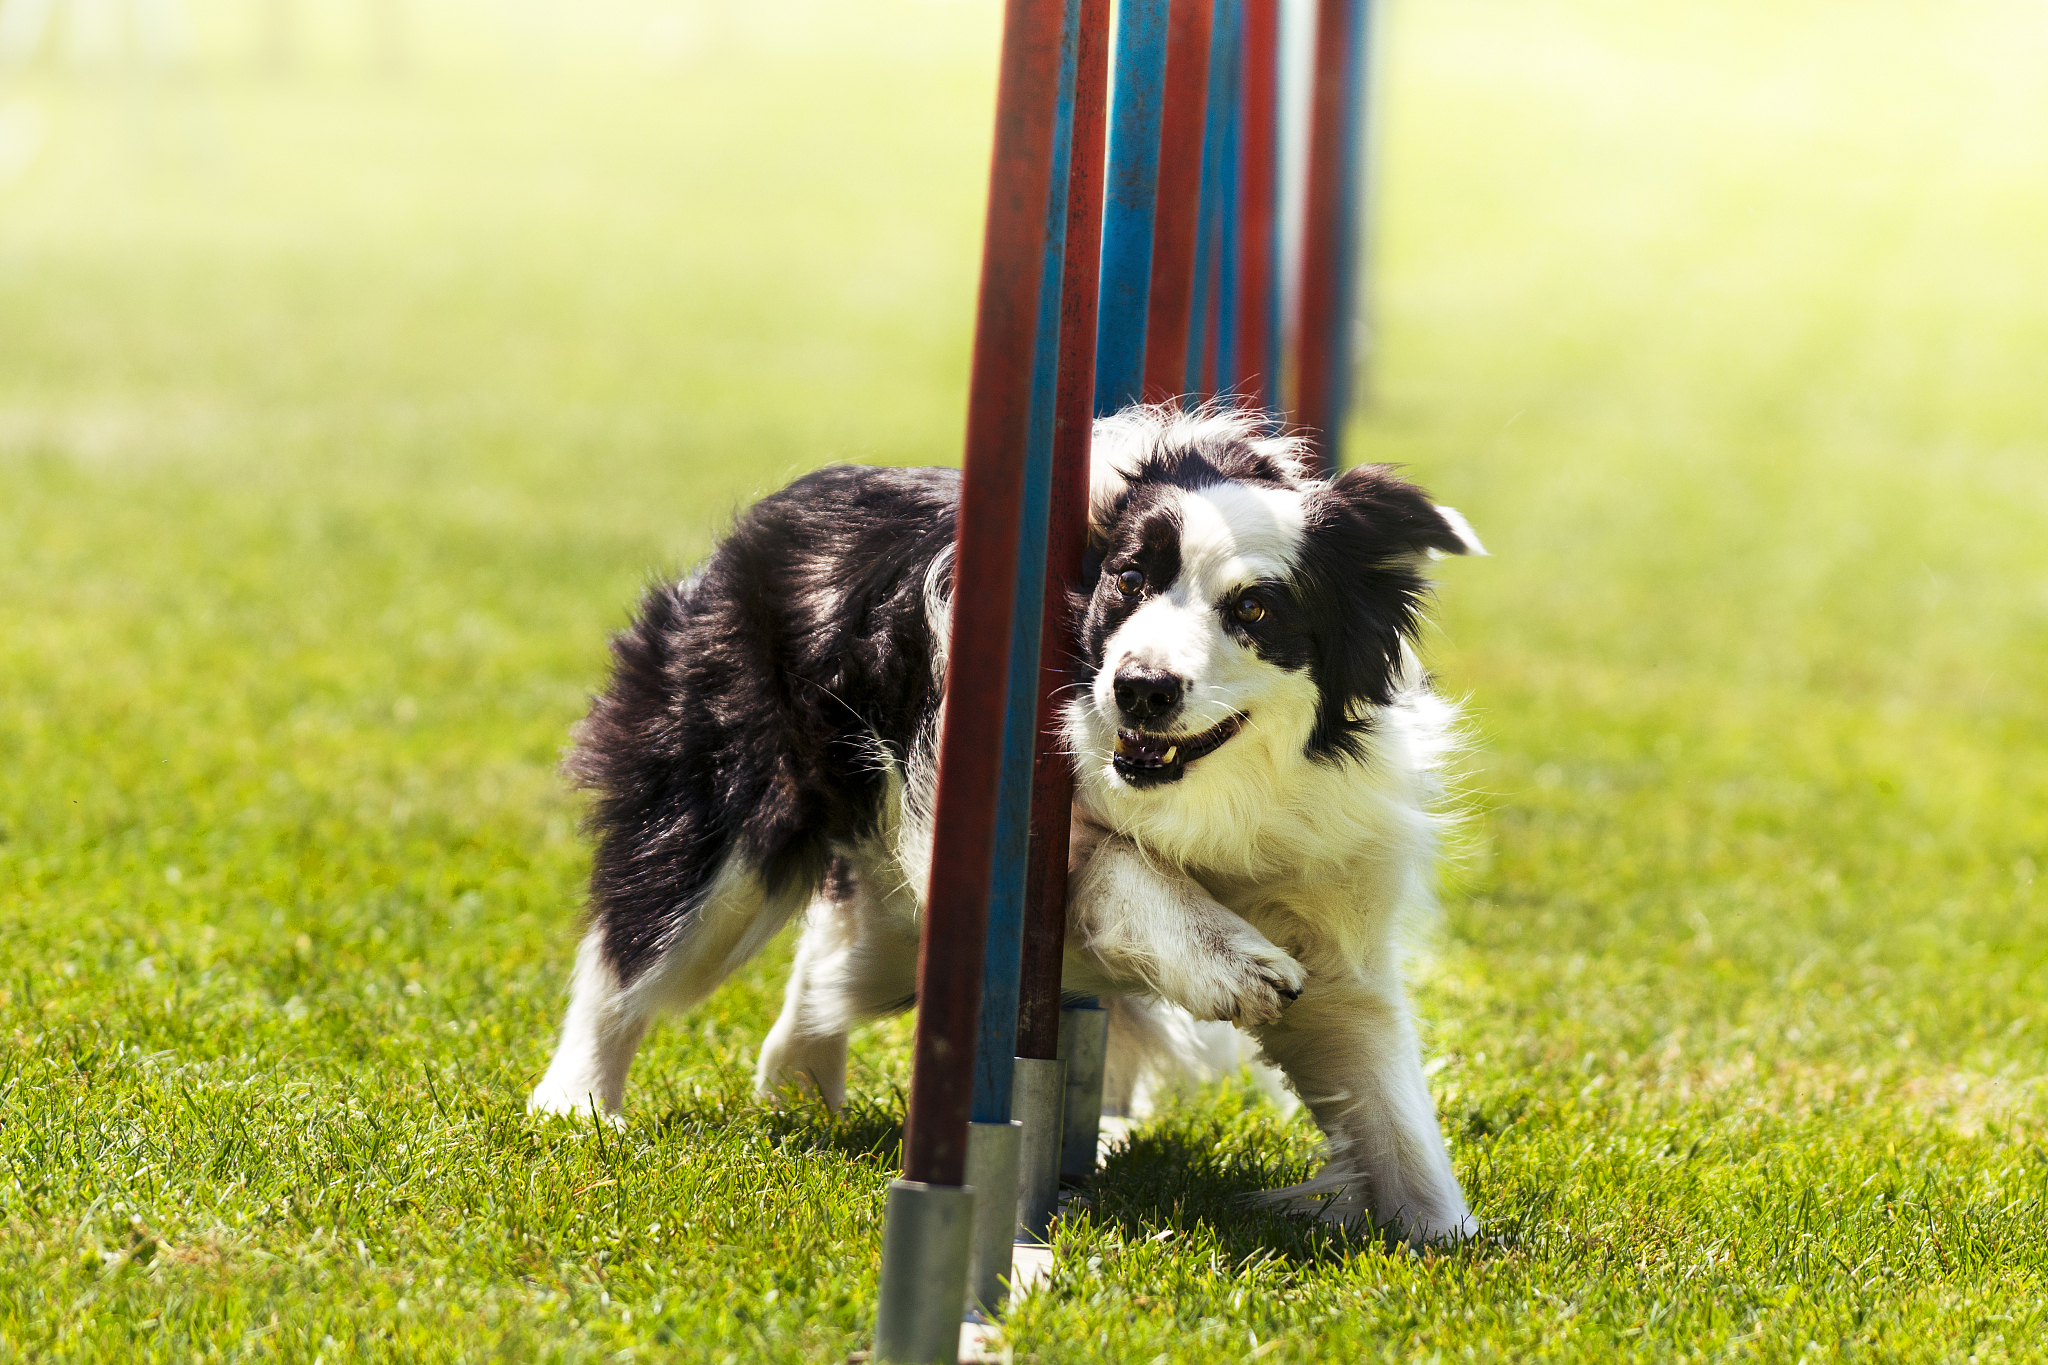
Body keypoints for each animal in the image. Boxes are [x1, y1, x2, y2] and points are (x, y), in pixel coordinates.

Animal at [536, 401, 1482, 1244]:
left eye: (1255, 609)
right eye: (1129, 580)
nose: (1140, 688)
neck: (1209, 798)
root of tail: (778, 507)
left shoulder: (1328, 893)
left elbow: (1382, 1084)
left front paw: (1445, 1240)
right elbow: (1119, 863)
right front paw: (1230, 960)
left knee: (836, 960)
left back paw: (797, 1084)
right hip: (726, 791)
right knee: (640, 939)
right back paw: (576, 1106)